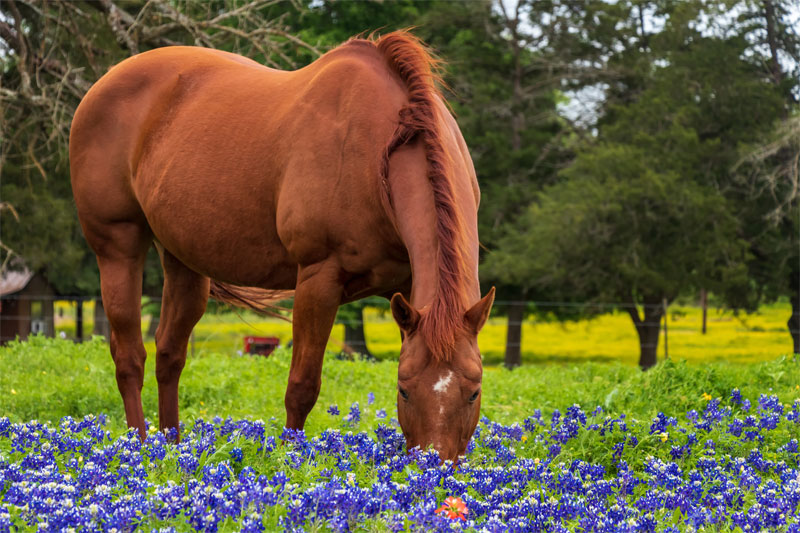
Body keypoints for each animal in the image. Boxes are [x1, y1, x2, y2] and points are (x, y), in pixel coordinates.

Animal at [70, 31, 494, 460]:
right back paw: (139, 449)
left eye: (474, 392)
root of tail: (103, 84)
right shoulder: (318, 280)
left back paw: (171, 448)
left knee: (169, 354)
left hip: (184, 260)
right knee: (129, 357)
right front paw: (293, 459)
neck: (379, 153)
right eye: (404, 390)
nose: (435, 464)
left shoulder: (409, 289)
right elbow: (302, 386)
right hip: (118, 246)